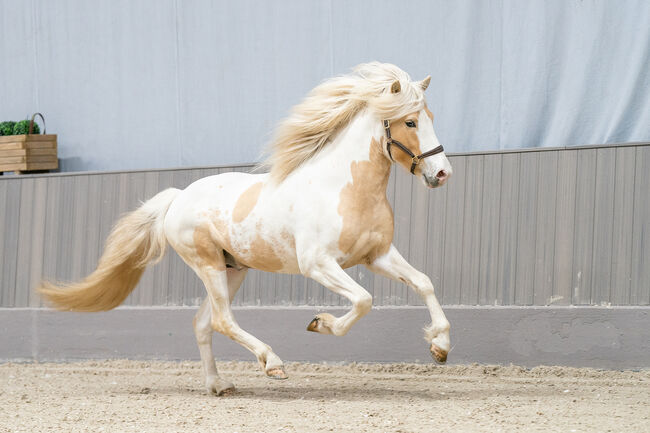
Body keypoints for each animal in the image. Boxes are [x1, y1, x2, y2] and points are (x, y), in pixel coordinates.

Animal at [39, 61, 450, 394]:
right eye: (410, 121)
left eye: (431, 115)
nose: (443, 173)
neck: (344, 188)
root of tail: (178, 197)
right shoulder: (318, 264)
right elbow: (364, 300)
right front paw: (319, 323)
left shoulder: (377, 256)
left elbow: (424, 282)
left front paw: (440, 346)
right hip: (207, 265)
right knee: (222, 320)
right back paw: (273, 364)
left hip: (232, 269)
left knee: (203, 323)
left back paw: (219, 385)